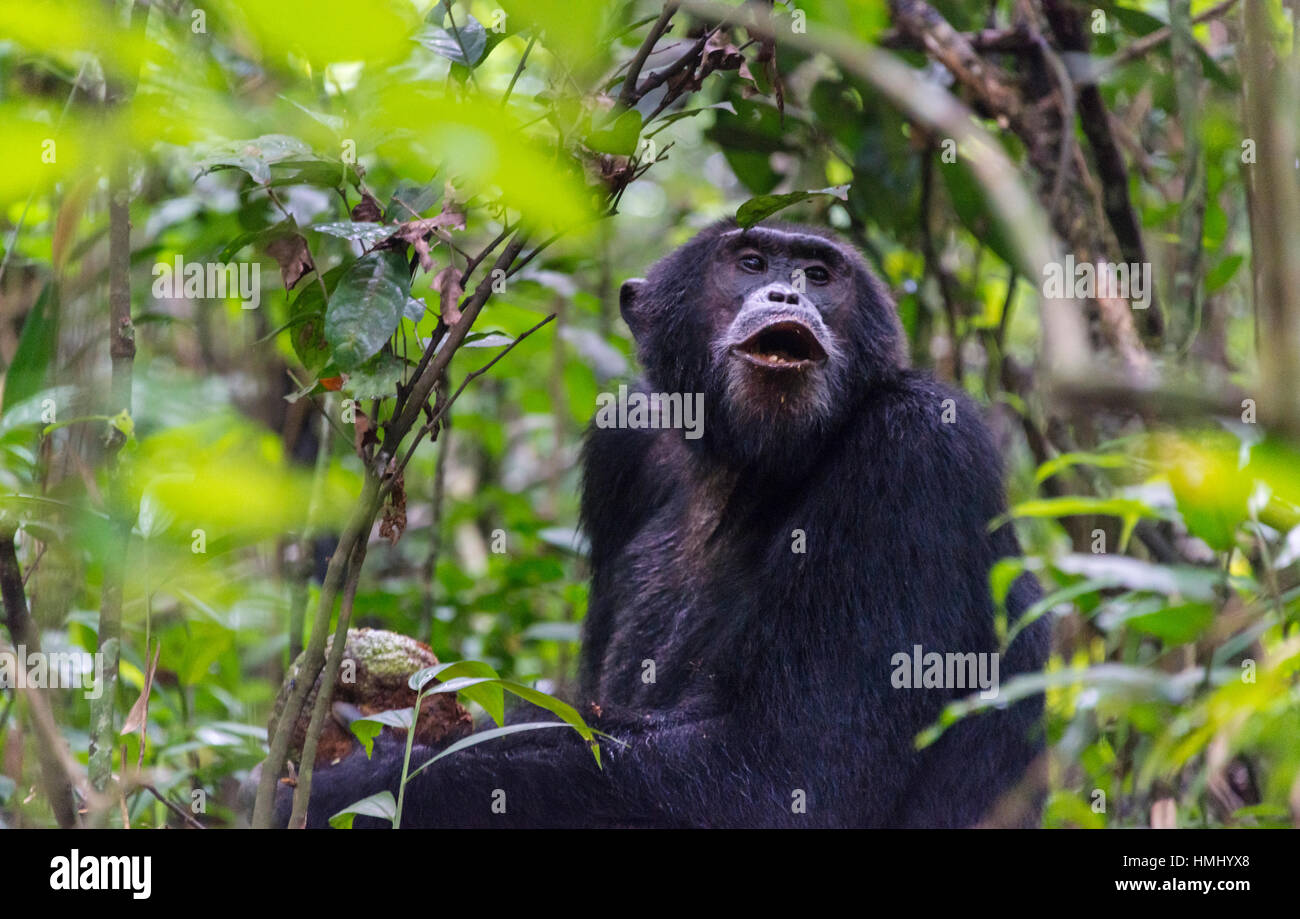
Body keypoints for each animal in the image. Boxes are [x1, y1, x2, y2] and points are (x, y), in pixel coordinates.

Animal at [279, 219, 1050, 831]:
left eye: (820, 274)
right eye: (750, 263)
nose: (788, 295)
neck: (744, 467)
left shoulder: (917, 453)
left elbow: (791, 772)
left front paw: (343, 783)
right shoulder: (624, 440)